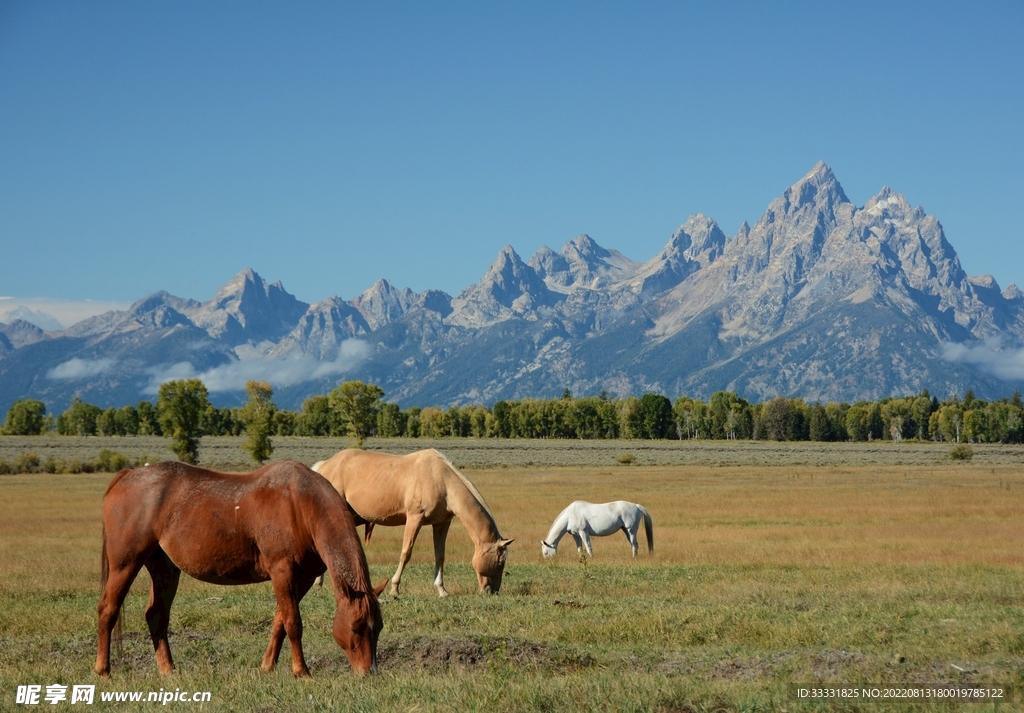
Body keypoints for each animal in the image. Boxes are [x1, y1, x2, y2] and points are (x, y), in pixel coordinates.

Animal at [94, 460, 387, 680]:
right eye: (356, 628)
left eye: (379, 627)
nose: (368, 672)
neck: (301, 505)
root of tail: (127, 475)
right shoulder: (282, 572)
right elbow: (293, 623)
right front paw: (301, 672)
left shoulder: (301, 579)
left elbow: (279, 622)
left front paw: (267, 666)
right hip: (125, 564)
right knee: (108, 609)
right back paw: (103, 670)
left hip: (164, 569)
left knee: (156, 615)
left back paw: (168, 670)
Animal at [312, 449, 513, 597]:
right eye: (499, 562)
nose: (492, 591)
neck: (441, 480)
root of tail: (323, 466)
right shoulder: (414, 519)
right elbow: (406, 553)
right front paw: (394, 589)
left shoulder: (441, 524)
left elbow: (440, 556)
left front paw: (441, 590)